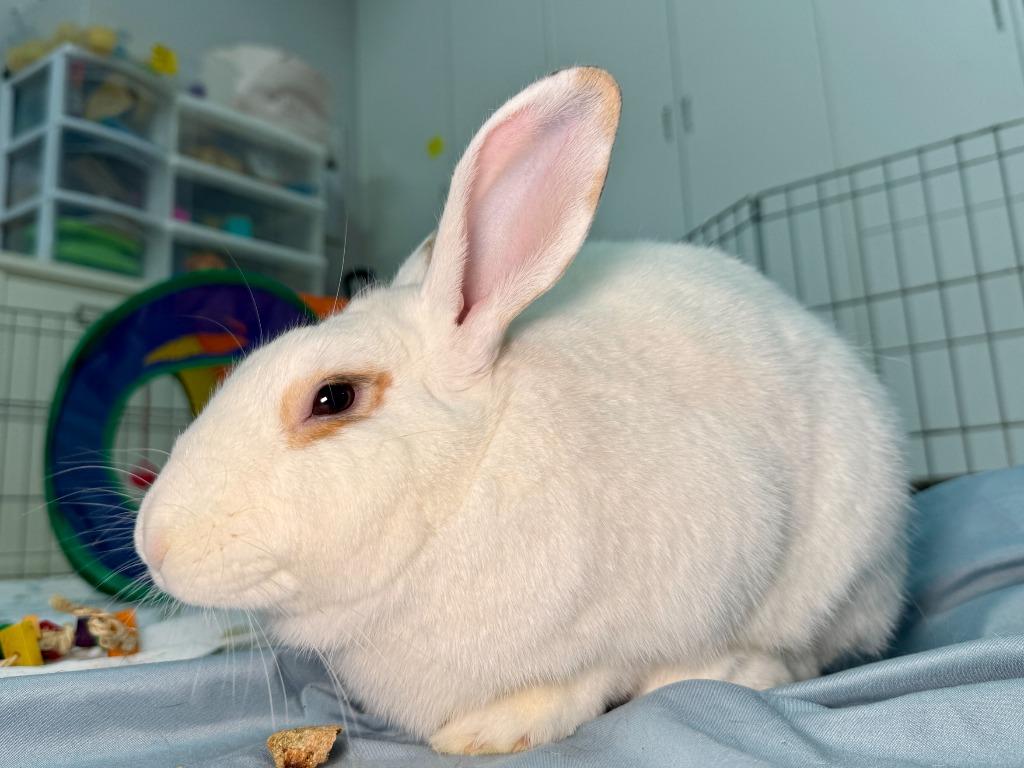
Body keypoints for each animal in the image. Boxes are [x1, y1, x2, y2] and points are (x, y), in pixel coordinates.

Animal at [134, 66, 908, 755]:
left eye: (334, 396)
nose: (152, 544)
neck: (469, 481)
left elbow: (592, 677)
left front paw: (488, 731)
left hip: (838, 566)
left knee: (800, 651)